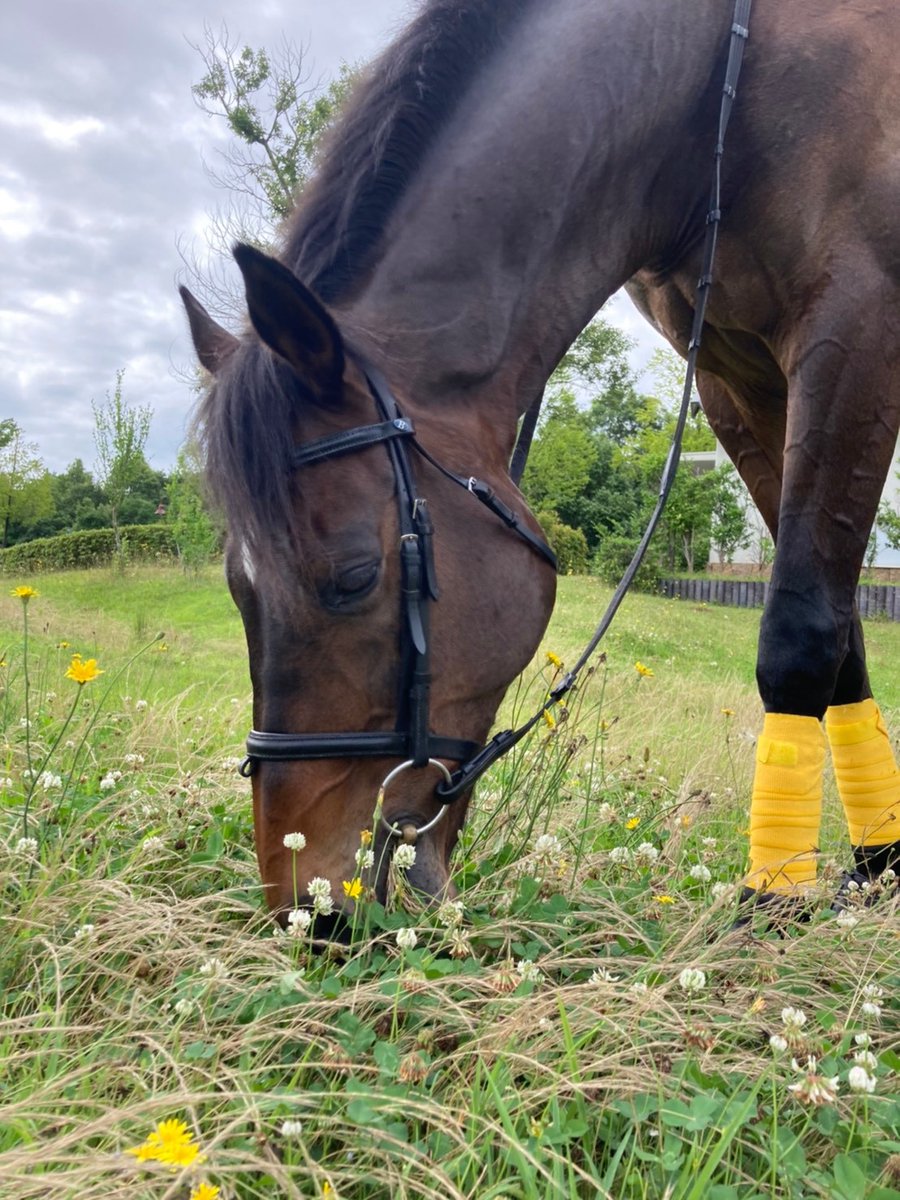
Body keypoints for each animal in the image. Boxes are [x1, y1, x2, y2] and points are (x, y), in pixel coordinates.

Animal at [181, 0, 900, 926]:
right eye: (239, 585)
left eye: (352, 578)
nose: (307, 907)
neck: (717, 86)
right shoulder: (737, 377)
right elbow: (843, 631)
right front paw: (874, 864)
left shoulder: (858, 326)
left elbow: (801, 629)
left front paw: (770, 900)